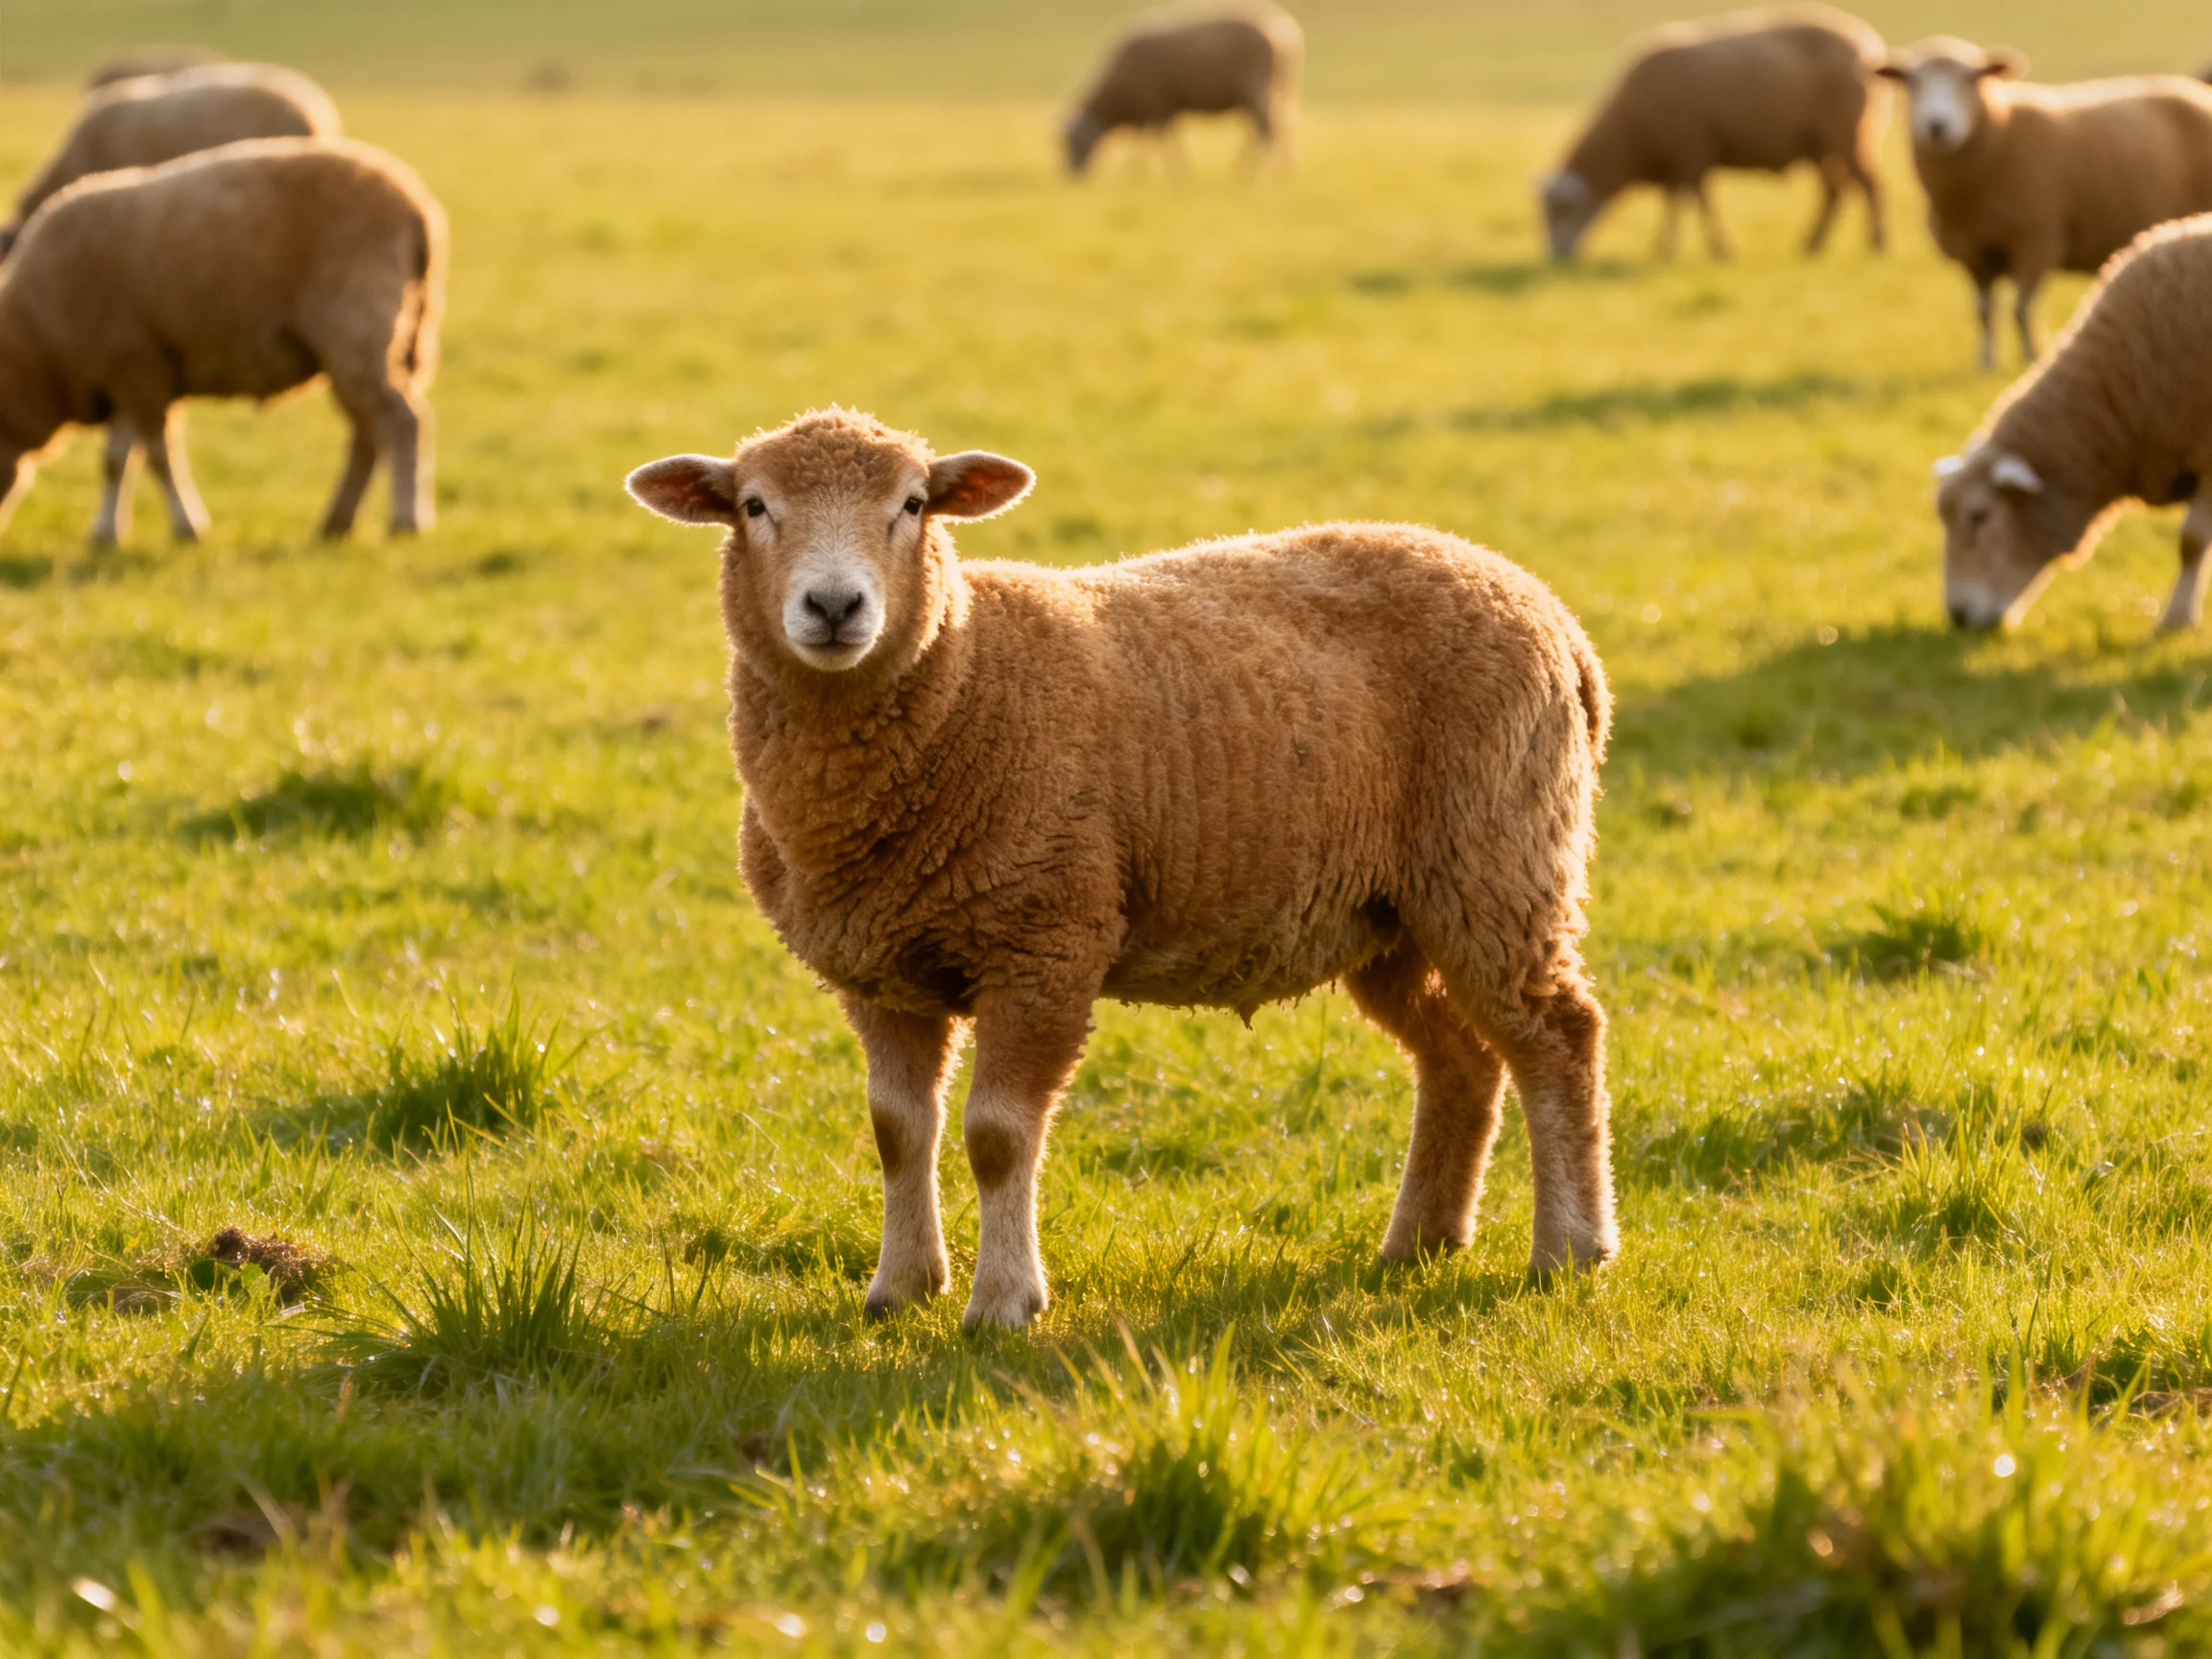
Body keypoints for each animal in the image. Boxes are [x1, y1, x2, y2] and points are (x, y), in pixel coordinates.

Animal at [0, 138, 445, 547]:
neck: (35, 346)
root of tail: (416, 208)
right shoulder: (128, 374)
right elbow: (117, 459)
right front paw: (107, 532)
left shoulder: (138, 365)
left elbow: (158, 456)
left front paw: (188, 527)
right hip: (385, 338)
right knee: (367, 432)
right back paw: (336, 523)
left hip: (358, 325)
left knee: (402, 421)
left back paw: (406, 521)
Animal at [626, 408, 1617, 1330]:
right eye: (755, 506)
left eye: (911, 505)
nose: (835, 608)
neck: (965, 674)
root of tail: (1555, 619)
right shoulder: (881, 971)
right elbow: (898, 1132)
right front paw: (901, 1287)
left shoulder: (1046, 941)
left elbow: (996, 1135)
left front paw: (1002, 1303)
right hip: (1392, 914)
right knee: (1462, 1057)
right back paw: (1421, 1240)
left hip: (1498, 861)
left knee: (1557, 1035)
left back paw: (1571, 1247)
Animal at [1063, 5, 1302, 176]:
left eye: (1073, 141)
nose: (1070, 176)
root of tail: (1286, 35)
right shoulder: (1161, 111)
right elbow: (1159, 142)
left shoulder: (1155, 107)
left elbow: (1160, 143)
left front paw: (1155, 174)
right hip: (1279, 92)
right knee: (1280, 127)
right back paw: (1279, 172)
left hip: (1257, 88)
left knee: (1266, 129)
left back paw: (1250, 174)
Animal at [1539, 6, 1889, 262]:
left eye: (1562, 209)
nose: (1557, 258)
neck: (1629, 132)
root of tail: (1867, 41)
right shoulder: (1675, 160)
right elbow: (1674, 203)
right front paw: (1665, 247)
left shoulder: (1690, 151)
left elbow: (1697, 202)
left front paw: (1716, 249)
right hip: (1819, 143)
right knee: (1834, 190)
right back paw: (1812, 244)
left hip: (1848, 134)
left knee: (1868, 184)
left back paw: (1876, 243)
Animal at [1879, 39, 2212, 369]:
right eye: (1911, 81)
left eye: (1972, 78)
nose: (1937, 126)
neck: (2000, 132)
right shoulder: (1972, 252)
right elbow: (1984, 312)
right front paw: (1987, 360)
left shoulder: (2037, 239)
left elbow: (2021, 308)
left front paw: (2032, 355)